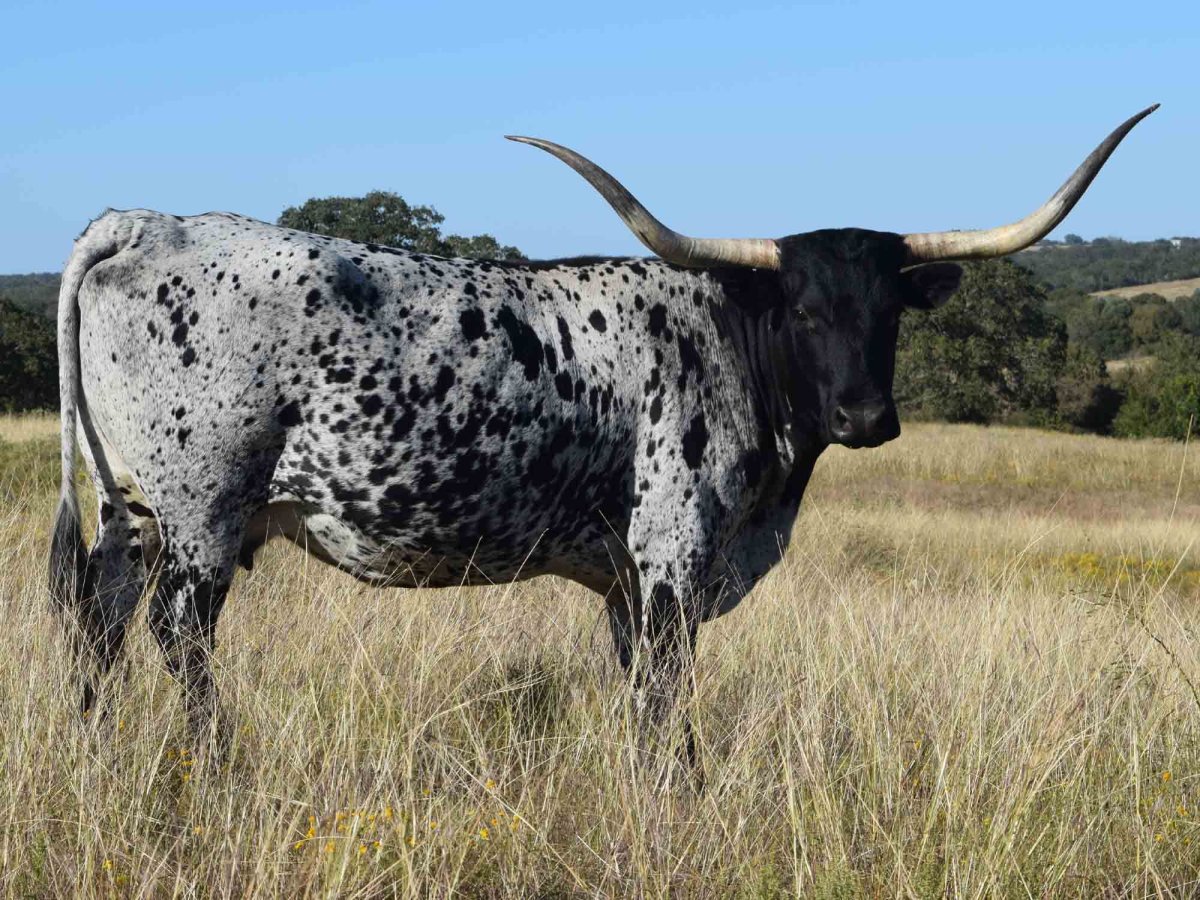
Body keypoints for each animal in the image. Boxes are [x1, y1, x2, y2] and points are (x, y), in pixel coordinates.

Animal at [49, 107, 1155, 762]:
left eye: (888, 314)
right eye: (802, 310)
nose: (866, 417)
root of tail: (142, 222)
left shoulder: (626, 578)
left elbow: (635, 689)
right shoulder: (673, 554)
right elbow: (667, 690)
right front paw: (680, 790)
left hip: (130, 509)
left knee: (99, 623)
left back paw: (95, 752)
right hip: (202, 512)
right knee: (178, 635)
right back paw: (215, 761)